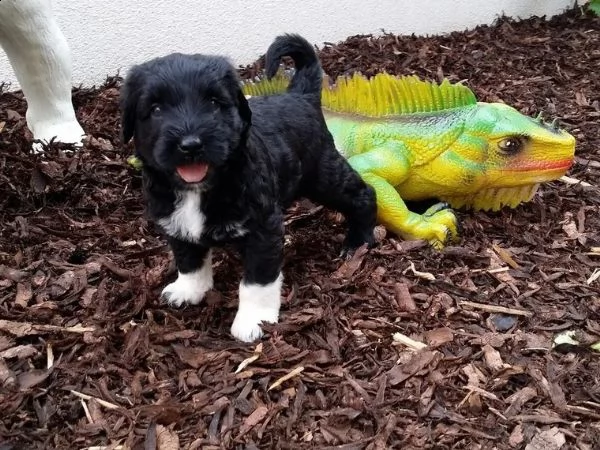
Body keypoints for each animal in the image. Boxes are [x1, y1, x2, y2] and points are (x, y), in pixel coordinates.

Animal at [119, 33, 378, 342]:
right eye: (156, 109)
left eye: (214, 102)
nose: (191, 144)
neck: (203, 188)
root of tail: (299, 96)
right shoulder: (175, 221)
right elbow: (188, 258)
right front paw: (189, 289)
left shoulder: (262, 230)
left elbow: (257, 280)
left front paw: (254, 319)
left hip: (323, 175)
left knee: (363, 193)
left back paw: (358, 243)